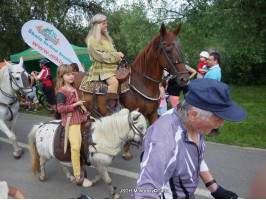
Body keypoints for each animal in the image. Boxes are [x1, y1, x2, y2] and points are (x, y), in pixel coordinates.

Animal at [54, 22, 189, 159]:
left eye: (181, 47)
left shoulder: (153, 115)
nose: (184, 78)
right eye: (168, 50)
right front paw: (126, 151)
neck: (142, 83)